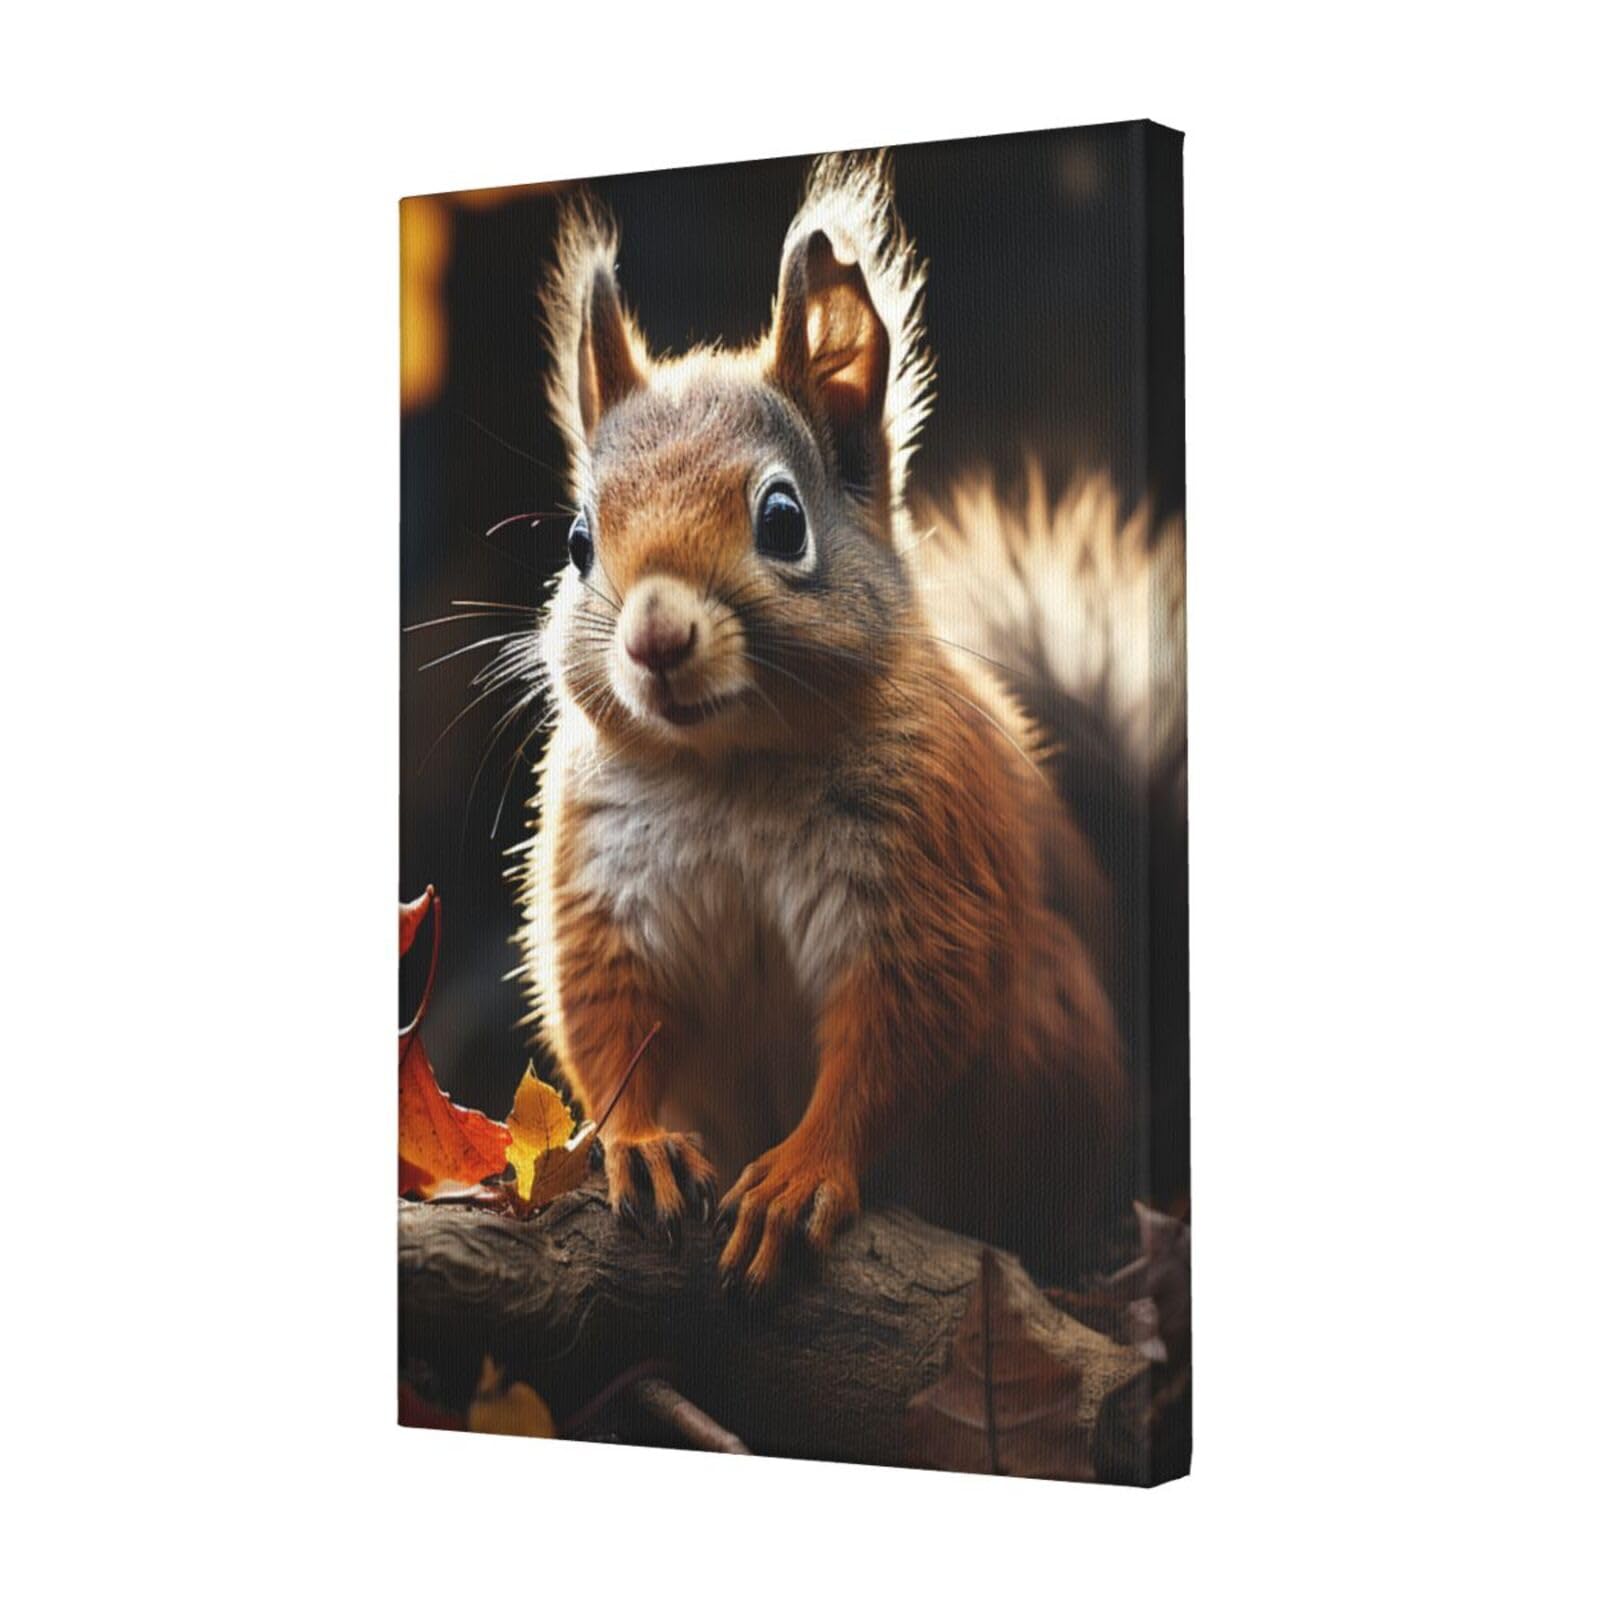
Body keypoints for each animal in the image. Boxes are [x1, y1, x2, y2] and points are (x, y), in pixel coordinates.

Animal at [515, 153, 1186, 1294]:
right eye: (576, 542)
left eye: (783, 521)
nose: (654, 640)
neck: (731, 768)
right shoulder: (604, 879)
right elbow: (608, 1017)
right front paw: (638, 1142)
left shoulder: (924, 871)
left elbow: (895, 1033)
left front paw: (798, 1175)